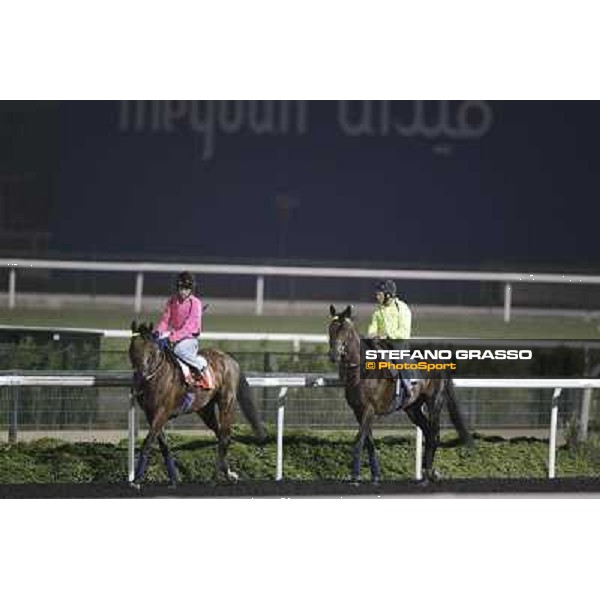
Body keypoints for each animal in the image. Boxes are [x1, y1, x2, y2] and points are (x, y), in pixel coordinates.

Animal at [130, 322, 266, 486]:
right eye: (134, 348)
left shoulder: (162, 412)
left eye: (152, 351)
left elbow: (147, 443)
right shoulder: (151, 414)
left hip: (227, 402)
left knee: (224, 437)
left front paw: (137, 480)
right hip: (205, 410)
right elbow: (163, 445)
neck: (156, 378)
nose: (141, 375)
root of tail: (229, 359)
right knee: (221, 435)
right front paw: (174, 478)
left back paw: (216, 477)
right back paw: (228, 474)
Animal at [328, 304, 474, 482]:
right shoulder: (358, 411)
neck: (362, 371)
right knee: (427, 431)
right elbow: (369, 441)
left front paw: (355, 476)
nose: (334, 355)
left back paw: (430, 472)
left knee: (434, 434)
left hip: (434, 402)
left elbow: (359, 440)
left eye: (346, 331)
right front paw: (375, 475)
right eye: (331, 329)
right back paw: (425, 470)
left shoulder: (369, 410)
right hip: (412, 408)